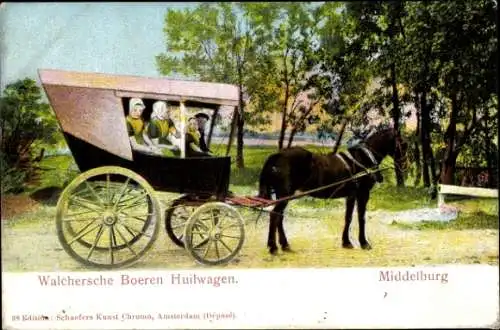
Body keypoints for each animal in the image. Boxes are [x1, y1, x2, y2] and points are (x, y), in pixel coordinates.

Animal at [260, 127, 408, 255]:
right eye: (403, 144)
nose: (404, 166)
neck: (363, 159)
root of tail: (277, 155)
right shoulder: (363, 194)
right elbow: (361, 218)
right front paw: (364, 243)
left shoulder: (351, 195)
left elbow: (348, 218)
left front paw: (346, 242)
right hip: (285, 195)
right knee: (274, 215)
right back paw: (273, 247)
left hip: (283, 196)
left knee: (279, 216)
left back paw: (285, 245)